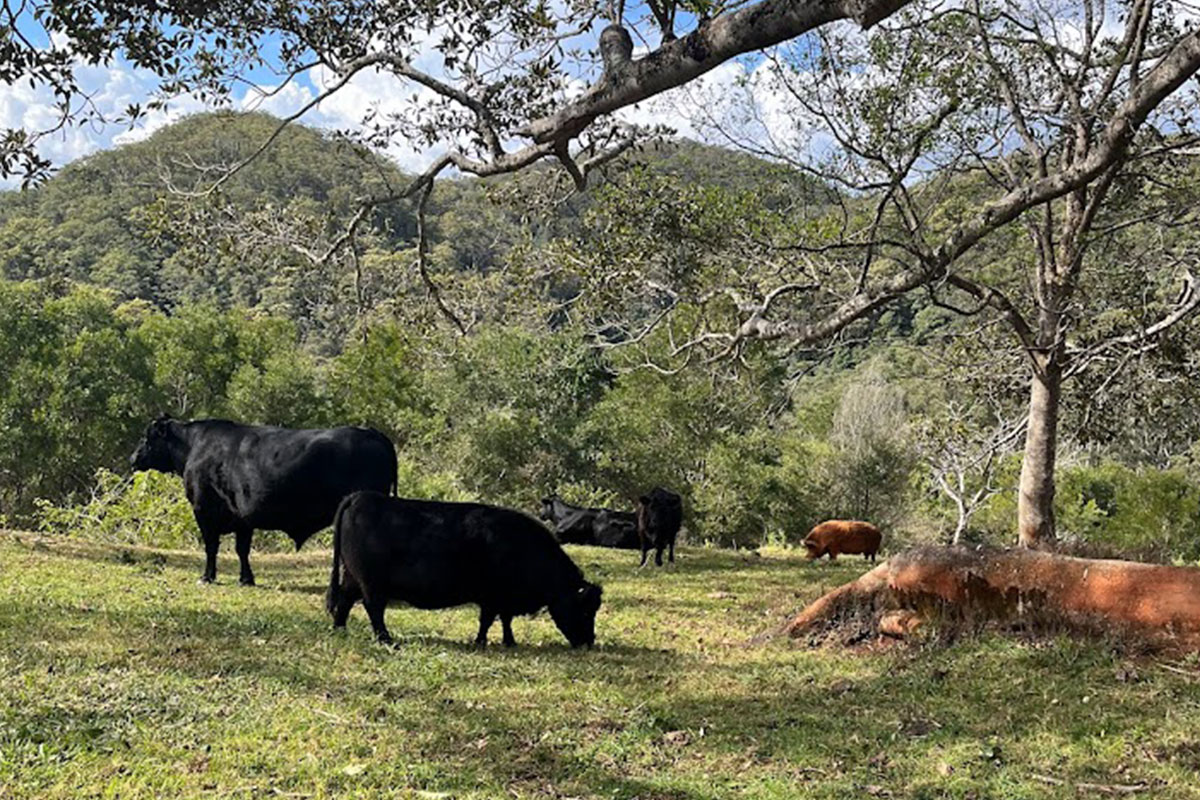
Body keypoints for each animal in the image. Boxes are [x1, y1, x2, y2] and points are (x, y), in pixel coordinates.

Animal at [130, 417, 396, 585]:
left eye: (147, 437)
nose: (133, 458)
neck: (194, 446)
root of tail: (373, 433)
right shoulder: (242, 516)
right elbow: (242, 549)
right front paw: (246, 579)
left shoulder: (204, 509)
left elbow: (211, 546)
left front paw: (207, 577)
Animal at [326, 489, 600, 652]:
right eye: (586, 610)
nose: (589, 642)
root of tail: (361, 496)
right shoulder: (493, 597)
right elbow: (489, 620)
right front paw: (483, 642)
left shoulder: (502, 599)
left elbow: (504, 620)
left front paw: (509, 641)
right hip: (372, 583)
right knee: (373, 608)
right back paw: (385, 639)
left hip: (352, 577)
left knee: (345, 600)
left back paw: (340, 629)